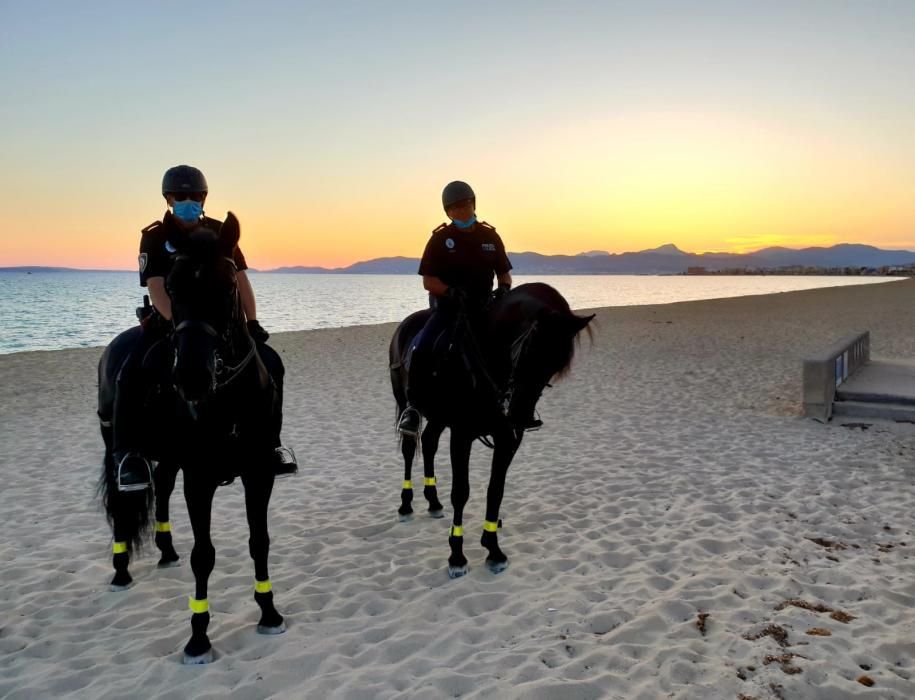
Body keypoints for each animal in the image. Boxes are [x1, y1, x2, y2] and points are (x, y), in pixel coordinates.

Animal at [98, 216, 284, 664]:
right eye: (173, 286)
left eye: (229, 283)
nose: (192, 377)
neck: (228, 400)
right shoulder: (199, 480)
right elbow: (204, 556)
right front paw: (198, 635)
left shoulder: (259, 472)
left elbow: (260, 542)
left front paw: (269, 611)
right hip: (114, 444)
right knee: (122, 498)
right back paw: (121, 569)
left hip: (168, 457)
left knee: (162, 488)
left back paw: (166, 550)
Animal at [388, 282, 592, 576]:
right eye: (529, 351)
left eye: (556, 364)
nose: (521, 415)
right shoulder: (461, 435)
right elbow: (461, 492)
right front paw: (457, 555)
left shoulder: (507, 439)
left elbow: (496, 490)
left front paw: (493, 548)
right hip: (405, 402)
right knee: (408, 446)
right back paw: (406, 504)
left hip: (438, 417)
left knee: (428, 443)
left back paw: (433, 501)